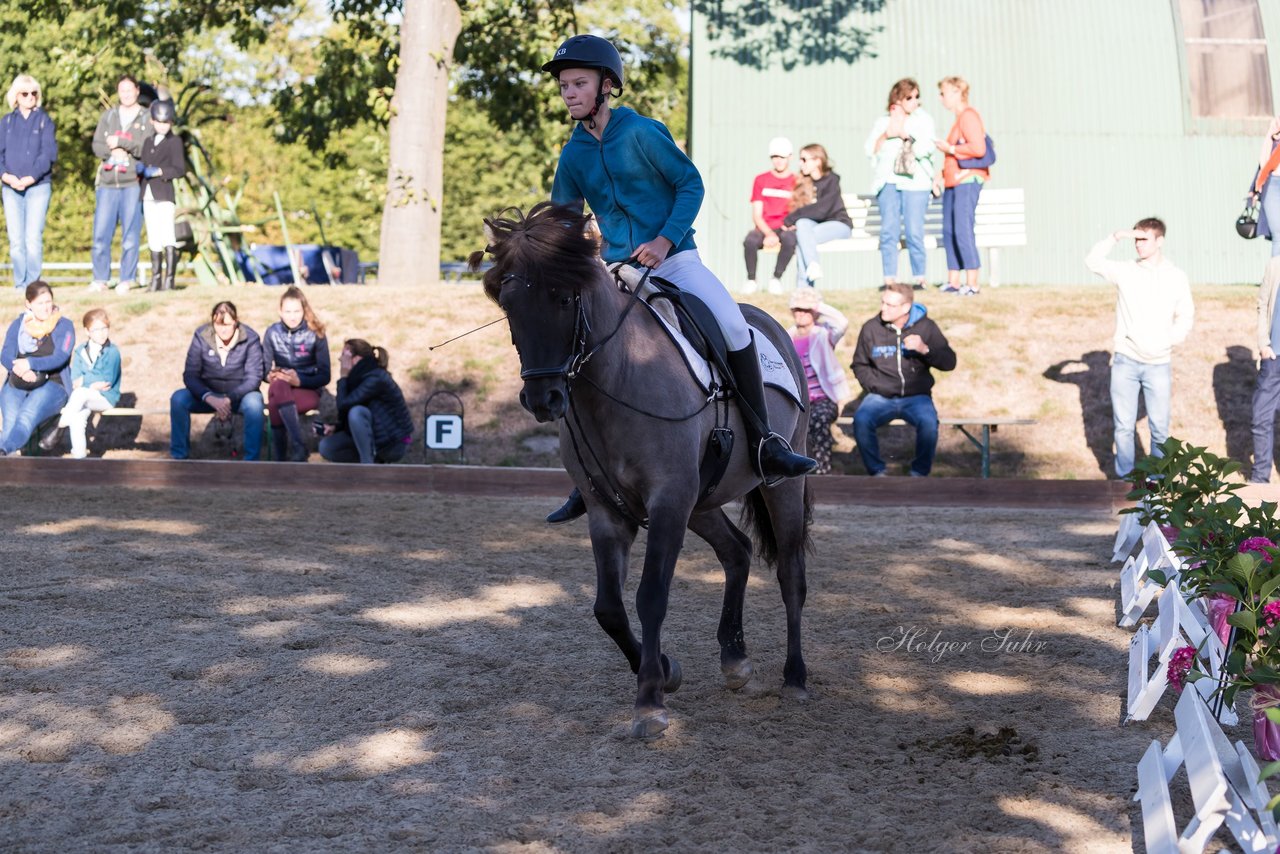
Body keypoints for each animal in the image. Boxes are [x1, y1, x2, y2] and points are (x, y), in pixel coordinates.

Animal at [476, 203, 814, 737]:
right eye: (509, 303)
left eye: (565, 297)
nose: (543, 399)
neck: (619, 376)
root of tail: (768, 323)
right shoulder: (608, 511)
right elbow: (608, 608)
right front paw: (664, 673)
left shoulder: (668, 500)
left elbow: (651, 596)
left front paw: (650, 703)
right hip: (702, 499)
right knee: (736, 552)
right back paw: (735, 659)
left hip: (781, 484)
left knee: (791, 574)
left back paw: (795, 677)